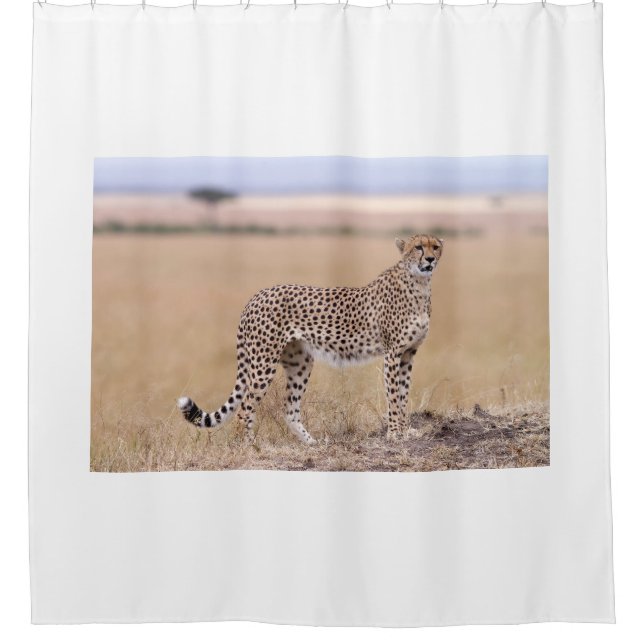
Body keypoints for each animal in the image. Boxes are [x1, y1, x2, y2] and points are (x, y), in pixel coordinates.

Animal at [177, 233, 443, 445]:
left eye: (435, 247)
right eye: (418, 247)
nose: (430, 260)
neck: (419, 284)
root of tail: (256, 296)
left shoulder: (408, 354)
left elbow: (404, 394)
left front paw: (406, 431)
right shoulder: (392, 354)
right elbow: (394, 396)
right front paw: (395, 434)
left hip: (300, 362)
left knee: (289, 410)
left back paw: (311, 443)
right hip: (263, 363)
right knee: (245, 408)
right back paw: (248, 446)